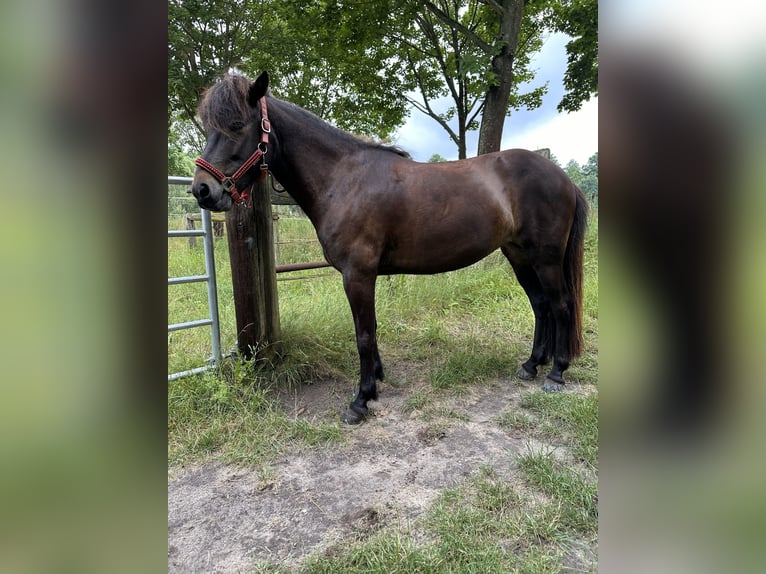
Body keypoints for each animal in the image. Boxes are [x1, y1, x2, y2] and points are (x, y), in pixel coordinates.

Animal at [190, 71, 588, 428]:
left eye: (237, 124)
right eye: (208, 127)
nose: (202, 190)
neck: (343, 178)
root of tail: (564, 178)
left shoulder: (358, 274)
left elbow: (363, 335)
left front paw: (360, 401)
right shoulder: (363, 277)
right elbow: (370, 329)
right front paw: (377, 381)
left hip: (546, 258)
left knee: (560, 305)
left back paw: (556, 373)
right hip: (518, 255)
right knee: (541, 305)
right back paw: (531, 365)